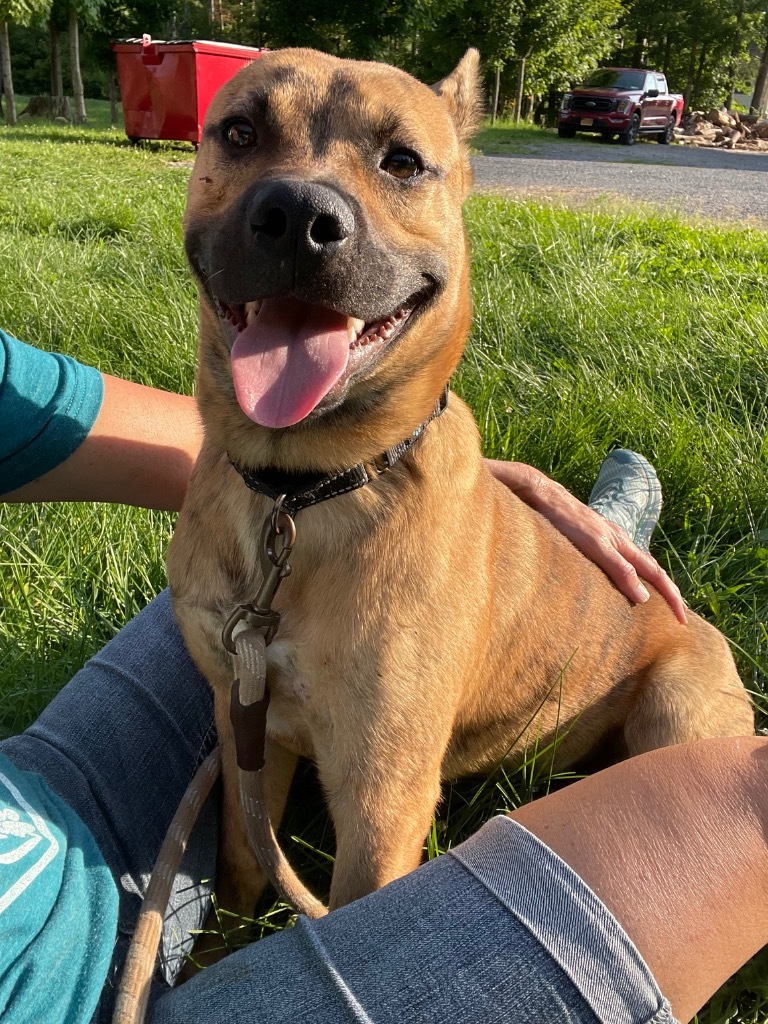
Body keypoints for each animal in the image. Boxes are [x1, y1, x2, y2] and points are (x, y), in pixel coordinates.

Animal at [166, 48, 753, 917]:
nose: (299, 217)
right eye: (239, 132)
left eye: (403, 163)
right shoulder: (250, 732)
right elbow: (243, 866)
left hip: (679, 717)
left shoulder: (382, 797)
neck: (303, 490)